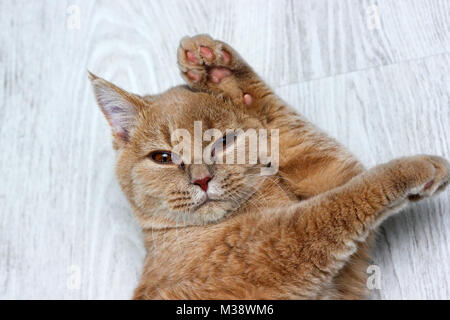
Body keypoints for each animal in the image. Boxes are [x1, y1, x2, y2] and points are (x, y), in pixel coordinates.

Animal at [89, 33, 450, 298]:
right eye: (163, 158)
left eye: (223, 142)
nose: (202, 180)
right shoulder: (272, 248)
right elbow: (336, 205)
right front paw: (418, 168)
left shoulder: (327, 178)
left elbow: (285, 127)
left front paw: (221, 74)